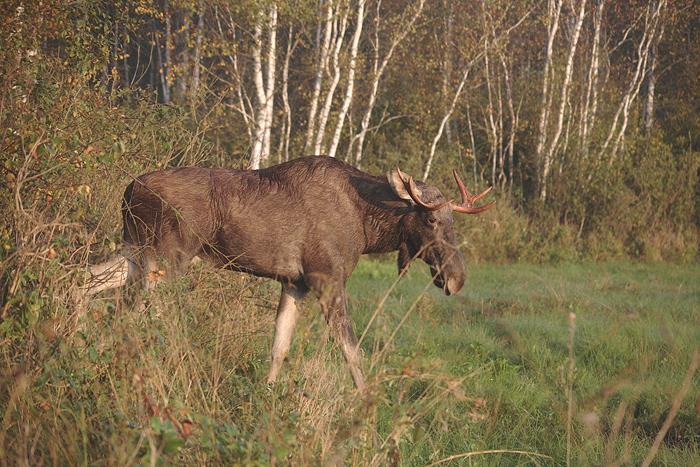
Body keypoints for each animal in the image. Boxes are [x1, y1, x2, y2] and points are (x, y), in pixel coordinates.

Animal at [83, 157, 492, 392]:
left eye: (454, 221)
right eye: (432, 220)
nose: (457, 278)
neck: (368, 228)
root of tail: (128, 190)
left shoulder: (295, 283)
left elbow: (279, 346)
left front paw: (267, 395)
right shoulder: (327, 278)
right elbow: (352, 351)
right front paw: (365, 404)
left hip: (136, 250)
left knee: (85, 281)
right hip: (168, 258)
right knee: (130, 312)